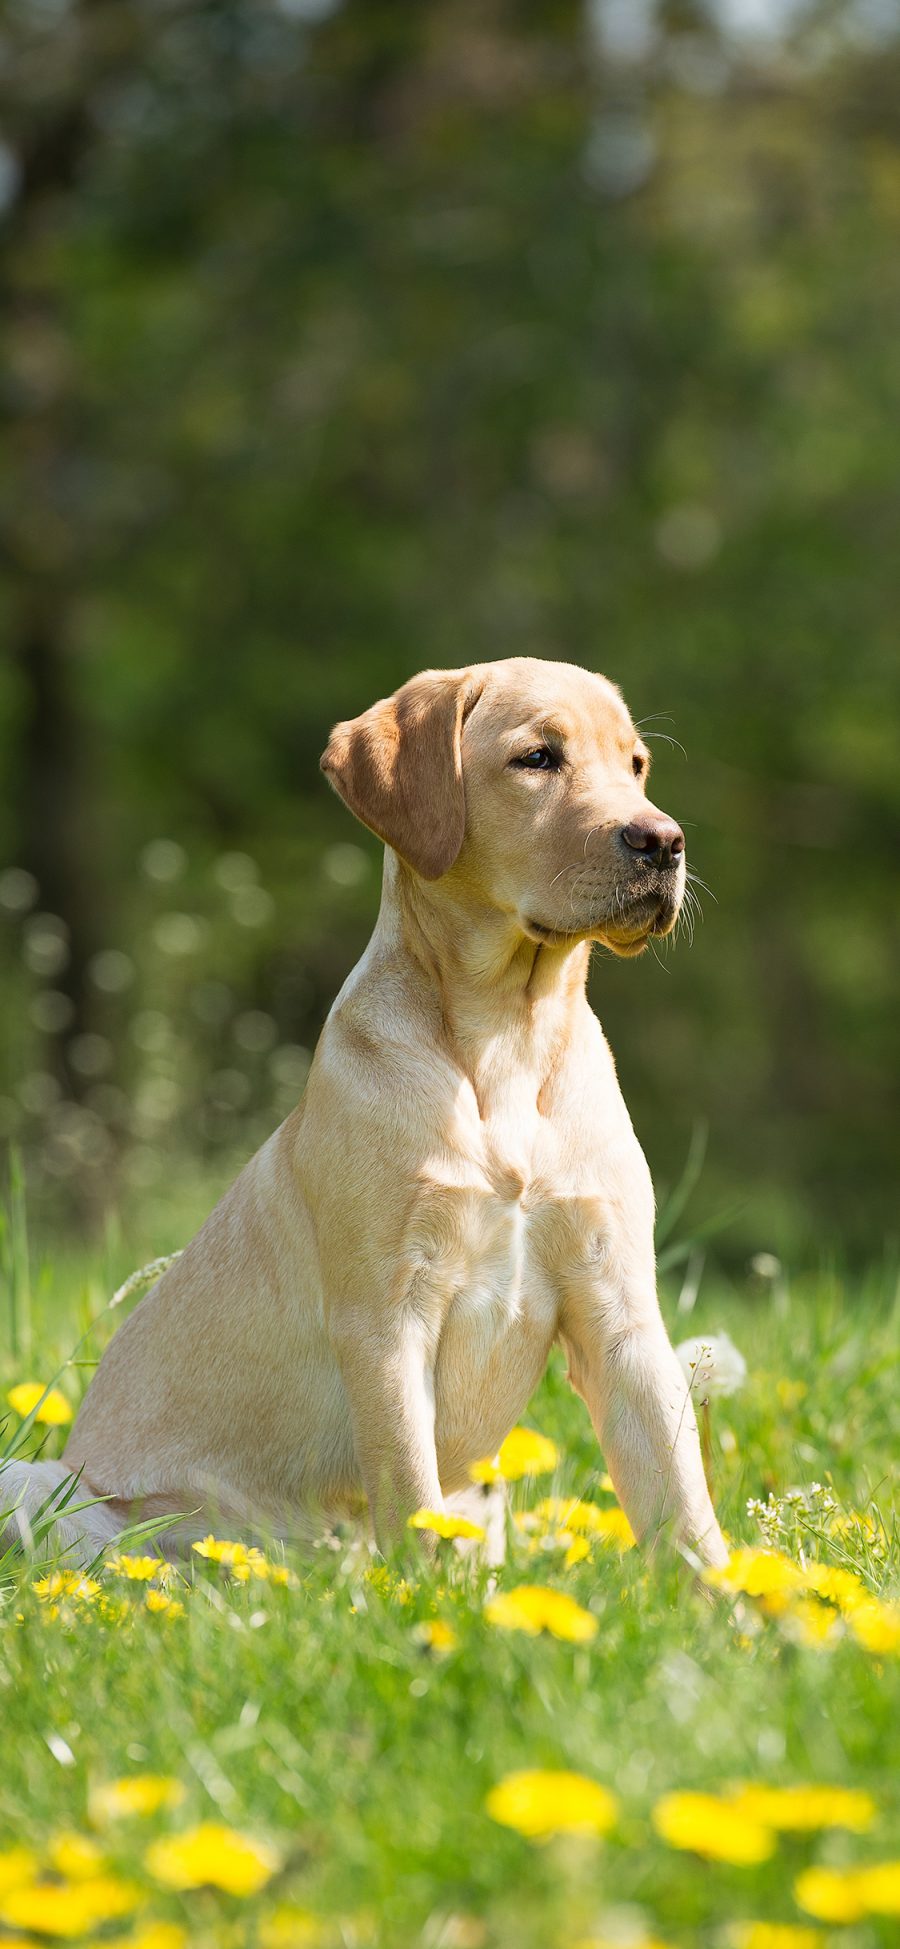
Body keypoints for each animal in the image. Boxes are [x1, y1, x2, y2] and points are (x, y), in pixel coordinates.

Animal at [3, 662, 728, 1574]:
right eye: (537, 757)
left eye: (636, 765)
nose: (663, 841)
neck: (509, 1038)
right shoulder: (387, 1317)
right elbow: (412, 1487)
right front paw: (430, 1596)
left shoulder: (619, 1307)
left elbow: (681, 1494)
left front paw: (734, 1602)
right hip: (40, 1486)